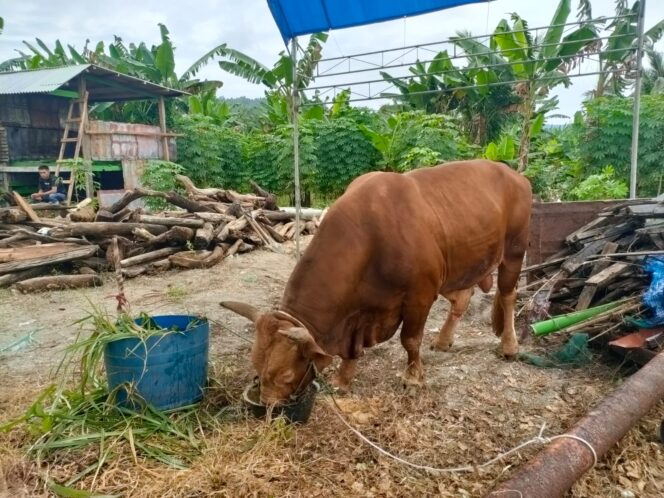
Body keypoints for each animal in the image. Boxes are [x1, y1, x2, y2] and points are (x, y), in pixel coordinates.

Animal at [220, 160, 532, 404]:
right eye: (256, 365)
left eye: (285, 374)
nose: (268, 405)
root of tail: (515, 175)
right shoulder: (360, 313)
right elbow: (353, 350)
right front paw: (343, 379)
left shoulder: (419, 295)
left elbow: (410, 340)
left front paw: (413, 378)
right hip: (457, 265)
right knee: (462, 297)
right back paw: (444, 340)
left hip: (513, 252)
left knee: (508, 295)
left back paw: (509, 346)